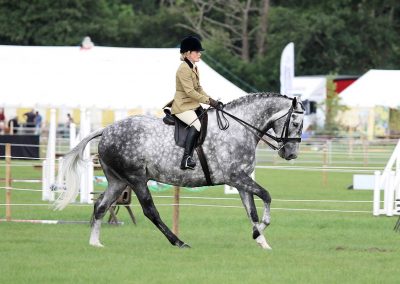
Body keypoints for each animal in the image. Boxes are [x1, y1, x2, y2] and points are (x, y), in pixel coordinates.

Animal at [54, 92, 304, 248]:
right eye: (295, 123)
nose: (291, 154)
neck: (238, 128)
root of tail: (106, 130)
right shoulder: (236, 177)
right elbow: (266, 196)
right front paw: (259, 231)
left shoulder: (240, 181)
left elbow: (251, 210)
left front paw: (261, 240)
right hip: (136, 179)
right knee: (150, 211)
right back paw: (179, 242)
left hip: (118, 181)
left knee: (101, 205)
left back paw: (95, 243)